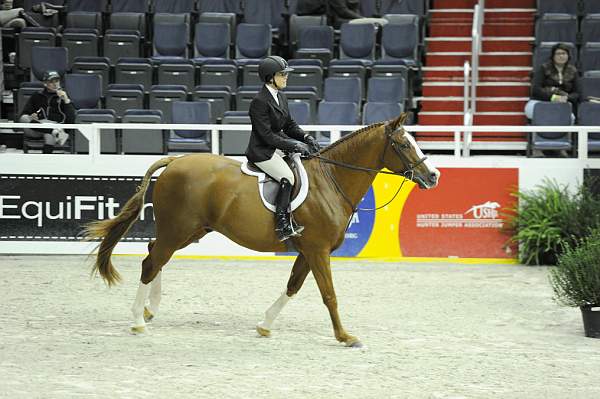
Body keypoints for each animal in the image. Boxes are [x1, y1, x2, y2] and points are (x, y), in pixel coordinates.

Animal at [83, 112, 440, 346]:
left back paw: (149, 309)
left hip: (190, 231)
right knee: (151, 261)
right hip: (178, 230)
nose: (433, 176)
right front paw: (345, 336)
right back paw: (138, 320)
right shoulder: (319, 251)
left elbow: (293, 287)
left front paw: (265, 325)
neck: (331, 181)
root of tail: (175, 161)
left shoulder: (309, 251)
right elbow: (329, 294)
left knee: (154, 255)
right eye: (404, 145)